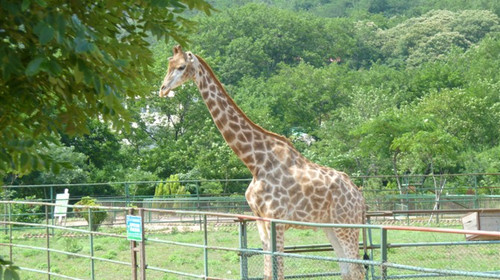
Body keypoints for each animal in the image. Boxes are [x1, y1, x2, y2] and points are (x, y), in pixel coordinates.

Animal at [160, 46, 368, 280]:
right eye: (168, 63)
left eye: (181, 67)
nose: (162, 89)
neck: (255, 163)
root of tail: (360, 196)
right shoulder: (260, 220)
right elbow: (269, 273)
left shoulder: (276, 220)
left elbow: (279, 272)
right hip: (329, 225)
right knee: (347, 269)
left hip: (347, 224)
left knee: (358, 269)